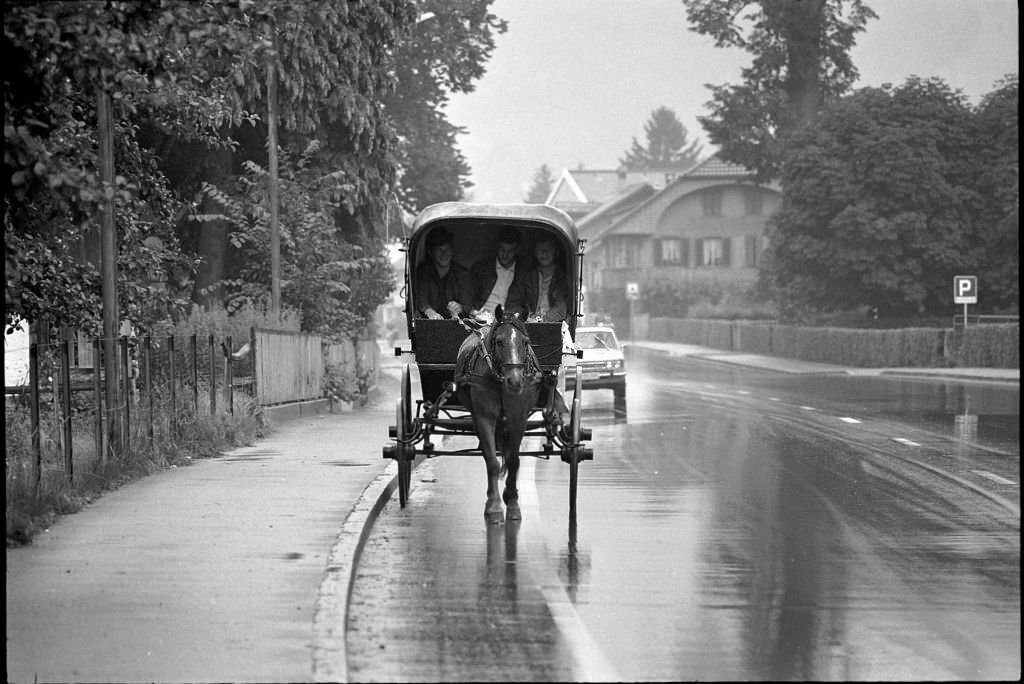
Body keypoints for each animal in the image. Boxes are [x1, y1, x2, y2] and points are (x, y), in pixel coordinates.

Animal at [452, 305, 540, 524]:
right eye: (499, 342)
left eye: (525, 342)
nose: (515, 382)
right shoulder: (484, 418)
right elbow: (491, 461)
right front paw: (494, 506)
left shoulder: (518, 419)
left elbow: (514, 460)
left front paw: (513, 504)